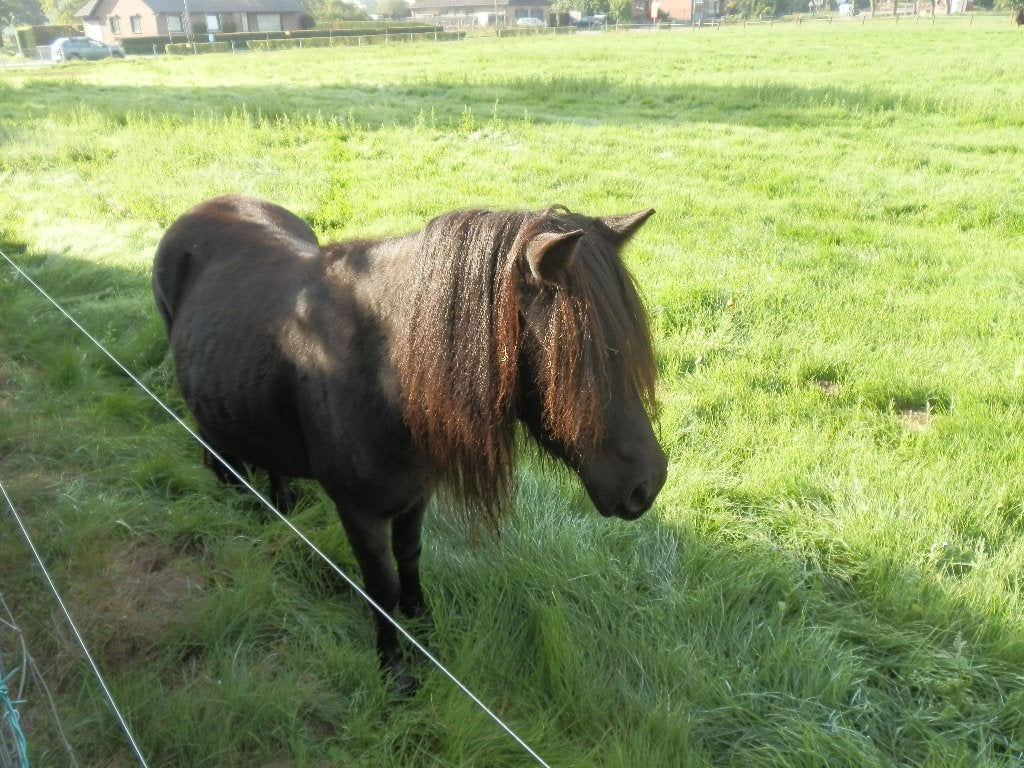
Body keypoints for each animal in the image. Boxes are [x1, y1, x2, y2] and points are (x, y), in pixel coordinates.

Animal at [152, 195, 668, 690]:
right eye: (584, 357)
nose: (649, 483)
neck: (378, 370)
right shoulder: (358, 512)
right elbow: (381, 587)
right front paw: (395, 666)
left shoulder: (416, 495)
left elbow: (411, 558)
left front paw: (423, 626)